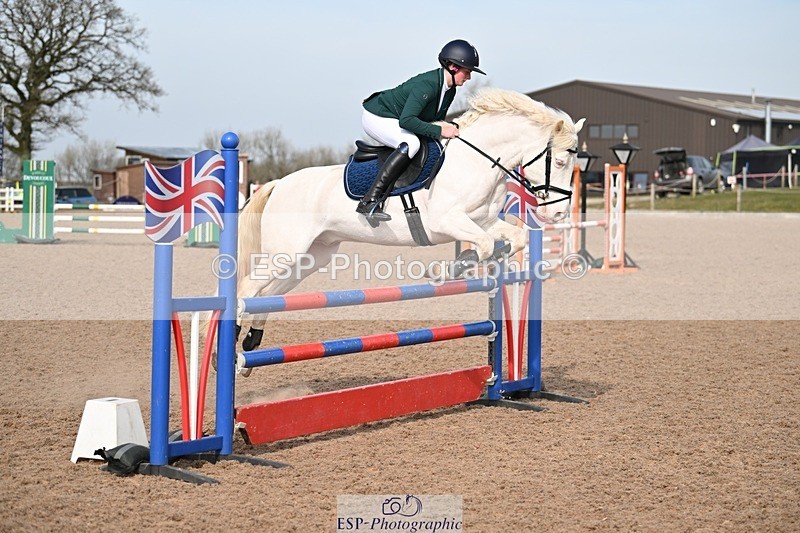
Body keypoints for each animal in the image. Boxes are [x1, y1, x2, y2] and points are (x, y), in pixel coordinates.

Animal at [233, 88, 584, 354]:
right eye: (561, 162)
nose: (556, 214)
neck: (477, 160)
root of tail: (278, 183)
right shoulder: (447, 221)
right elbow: (483, 246)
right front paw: (446, 271)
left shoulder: (483, 221)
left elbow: (514, 238)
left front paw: (474, 263)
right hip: (286, 251)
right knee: (249, 286)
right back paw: (234, 341)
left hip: (312, 255)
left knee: (269, 294)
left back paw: (252, 342)